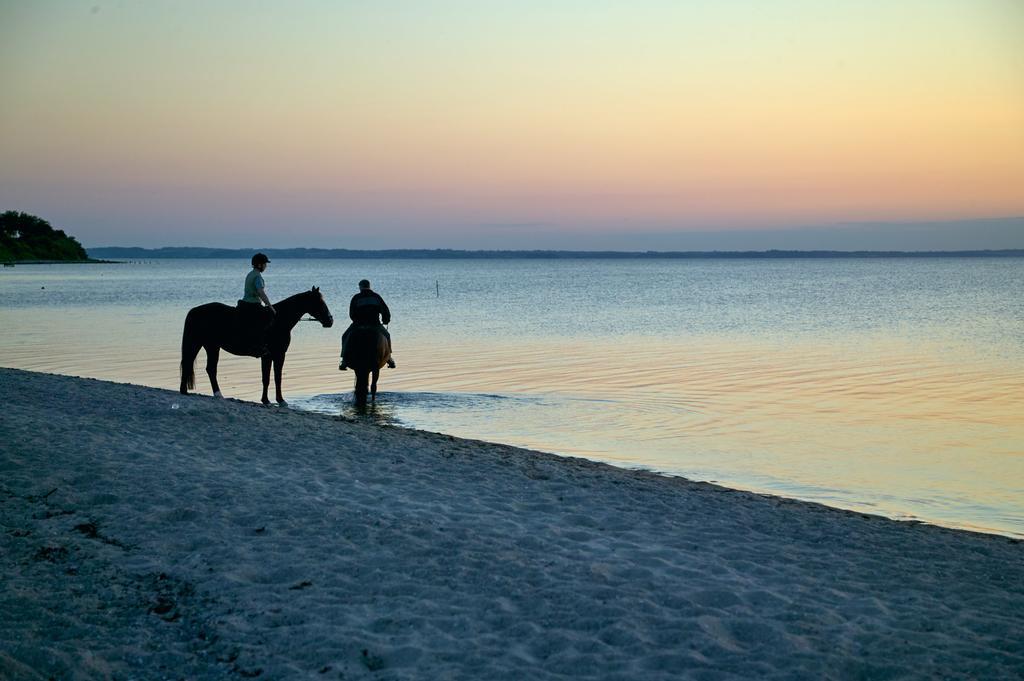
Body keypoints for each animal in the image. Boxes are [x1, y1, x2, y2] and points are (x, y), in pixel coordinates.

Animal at [179, 284, 331, 403]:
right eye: (319, 302)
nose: (330, 320)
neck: (279, 320)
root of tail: (195, 311)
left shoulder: (270, 355)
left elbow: (269, 378)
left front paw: (268, 399)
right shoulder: (276, 354)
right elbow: (274, 377)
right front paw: (277, 400)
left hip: (207, 345)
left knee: (197, 365)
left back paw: (185, 391)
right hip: (207, 346)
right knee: (205, 367)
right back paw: (217, 394)